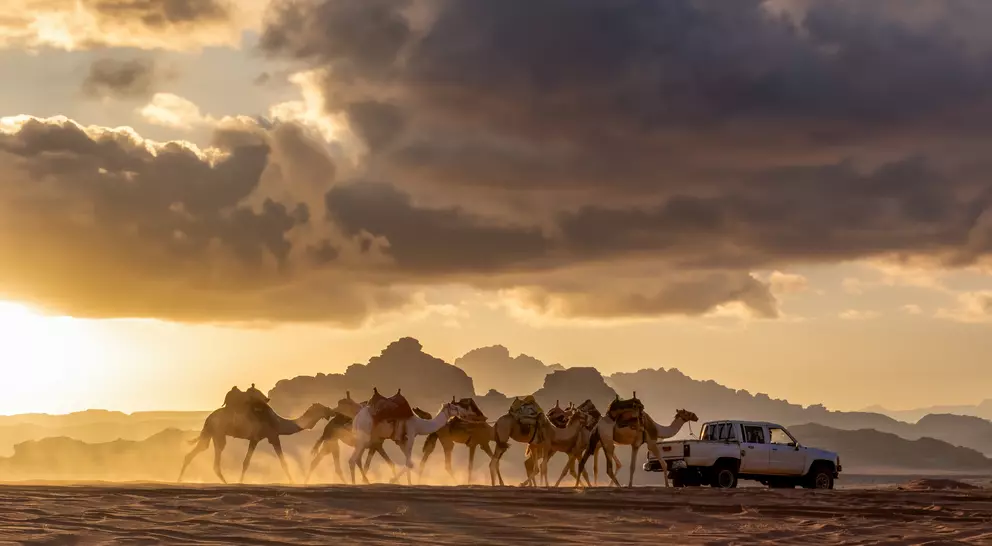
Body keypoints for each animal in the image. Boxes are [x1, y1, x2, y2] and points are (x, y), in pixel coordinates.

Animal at [178, 396, 332, 484]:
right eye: (323, 407)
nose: (332, 411)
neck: (278, 422)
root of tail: (209, 418)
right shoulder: (269, 436)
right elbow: (281, 462)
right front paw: (293, 481)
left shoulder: (259, 438)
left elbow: (247, 462)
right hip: (218, 433)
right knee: (216, 459)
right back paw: (226, 482)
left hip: (209, 433)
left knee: (195, 452)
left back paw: (179, 480)